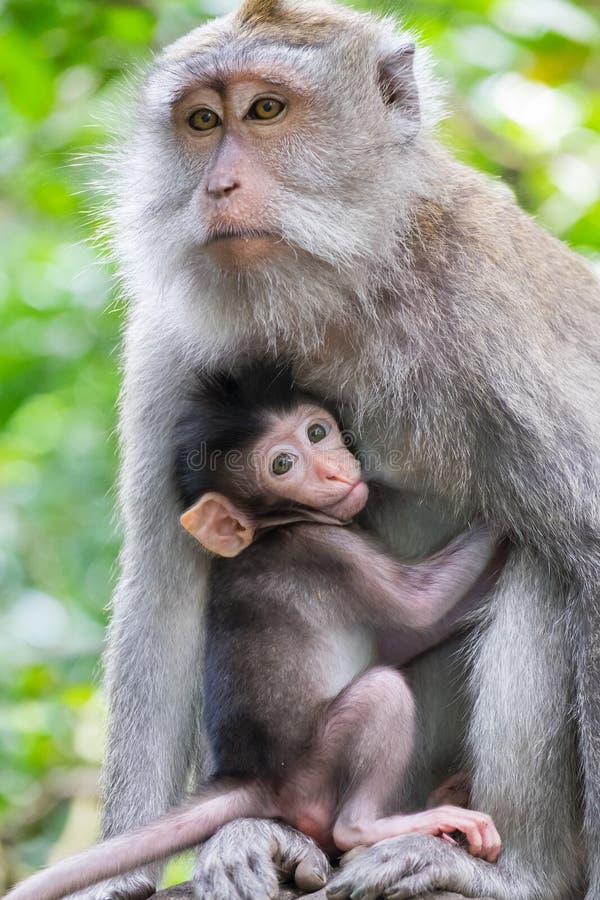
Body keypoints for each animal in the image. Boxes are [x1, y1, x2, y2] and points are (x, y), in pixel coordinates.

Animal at [5, 360, 502, 900]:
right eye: (283, 465)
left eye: (317, 432)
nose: (334, 470)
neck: (274, 526)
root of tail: (256, 780)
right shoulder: (326, 549)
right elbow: (421, 606)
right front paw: (507, 517)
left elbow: (407, 634)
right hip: (314, 772)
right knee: (381, 695)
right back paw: (379, 827)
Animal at [86, 0, 596, 896]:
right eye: (202, 122)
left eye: (266, 111)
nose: (218, 186)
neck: (332, 293)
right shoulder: (173, 343)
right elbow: (165, 580)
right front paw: (123, 872)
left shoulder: (490, 311)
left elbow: (587, 535)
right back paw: (260, 832)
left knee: (546, 565)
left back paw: (516, 873)